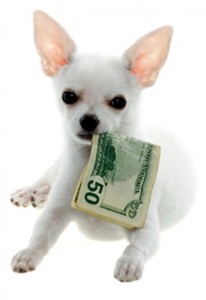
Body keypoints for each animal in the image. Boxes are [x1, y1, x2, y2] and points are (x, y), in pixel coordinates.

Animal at [10, 9, 196, 282]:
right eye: (68, 96)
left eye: (119, 102)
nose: (89, 119)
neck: (90, 162)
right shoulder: (54, 213)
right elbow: (41, 235)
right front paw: (27, 253)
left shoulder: (146, 229)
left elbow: (136, 247)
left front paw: (129, 263)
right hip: (55, 167)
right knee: (45, 179)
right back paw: (31, 192)